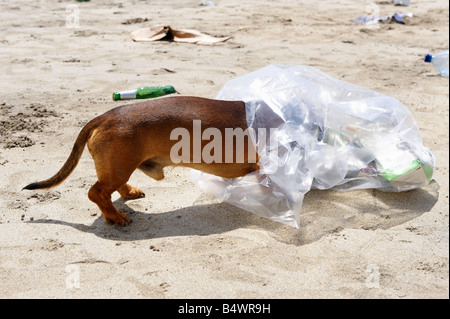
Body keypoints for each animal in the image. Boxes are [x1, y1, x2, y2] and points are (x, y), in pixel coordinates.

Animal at [23, 96, 256, 226]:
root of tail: (103, 117)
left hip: (118, 167)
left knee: (109, 189)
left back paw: (129, 193)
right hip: (119, 168)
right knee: (96, 193)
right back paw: (116, 217)